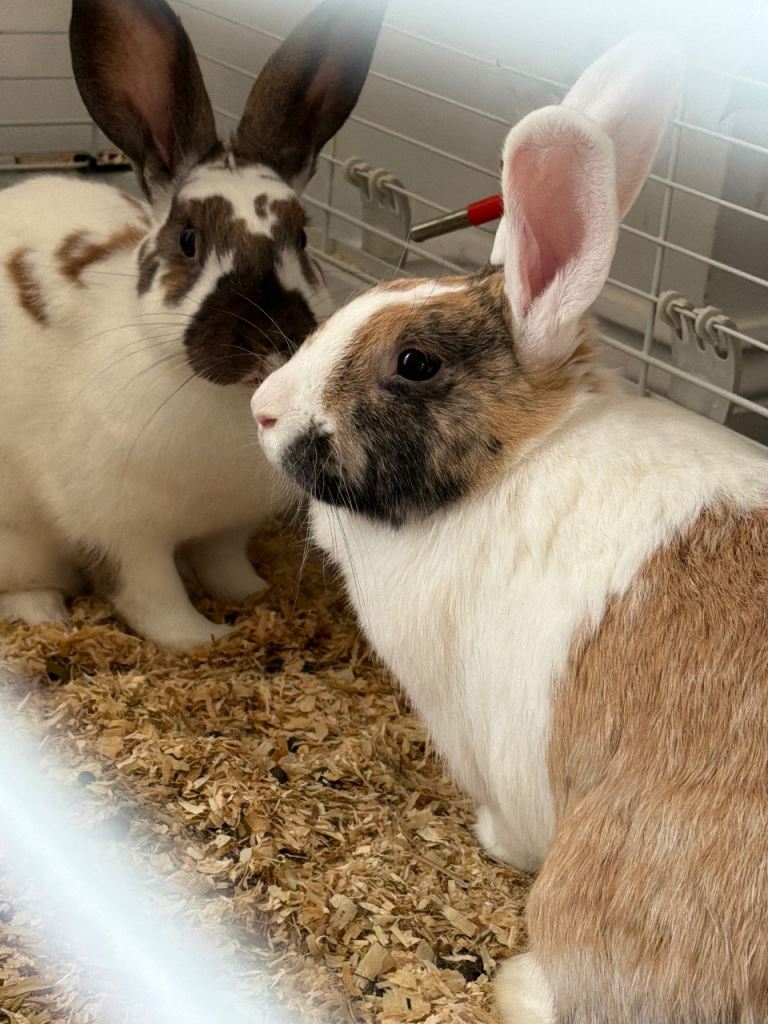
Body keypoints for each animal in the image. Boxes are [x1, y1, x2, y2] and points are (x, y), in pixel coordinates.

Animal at [0, 0, 386, 650]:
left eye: (302, 239)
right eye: (187, 240)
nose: (270, 340)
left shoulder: (227, 523)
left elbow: (223, 562)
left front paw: (251, 596)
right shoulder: (123, 534)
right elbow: (152, 596)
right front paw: (201, 637)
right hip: (18, 544)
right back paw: (46, 613)